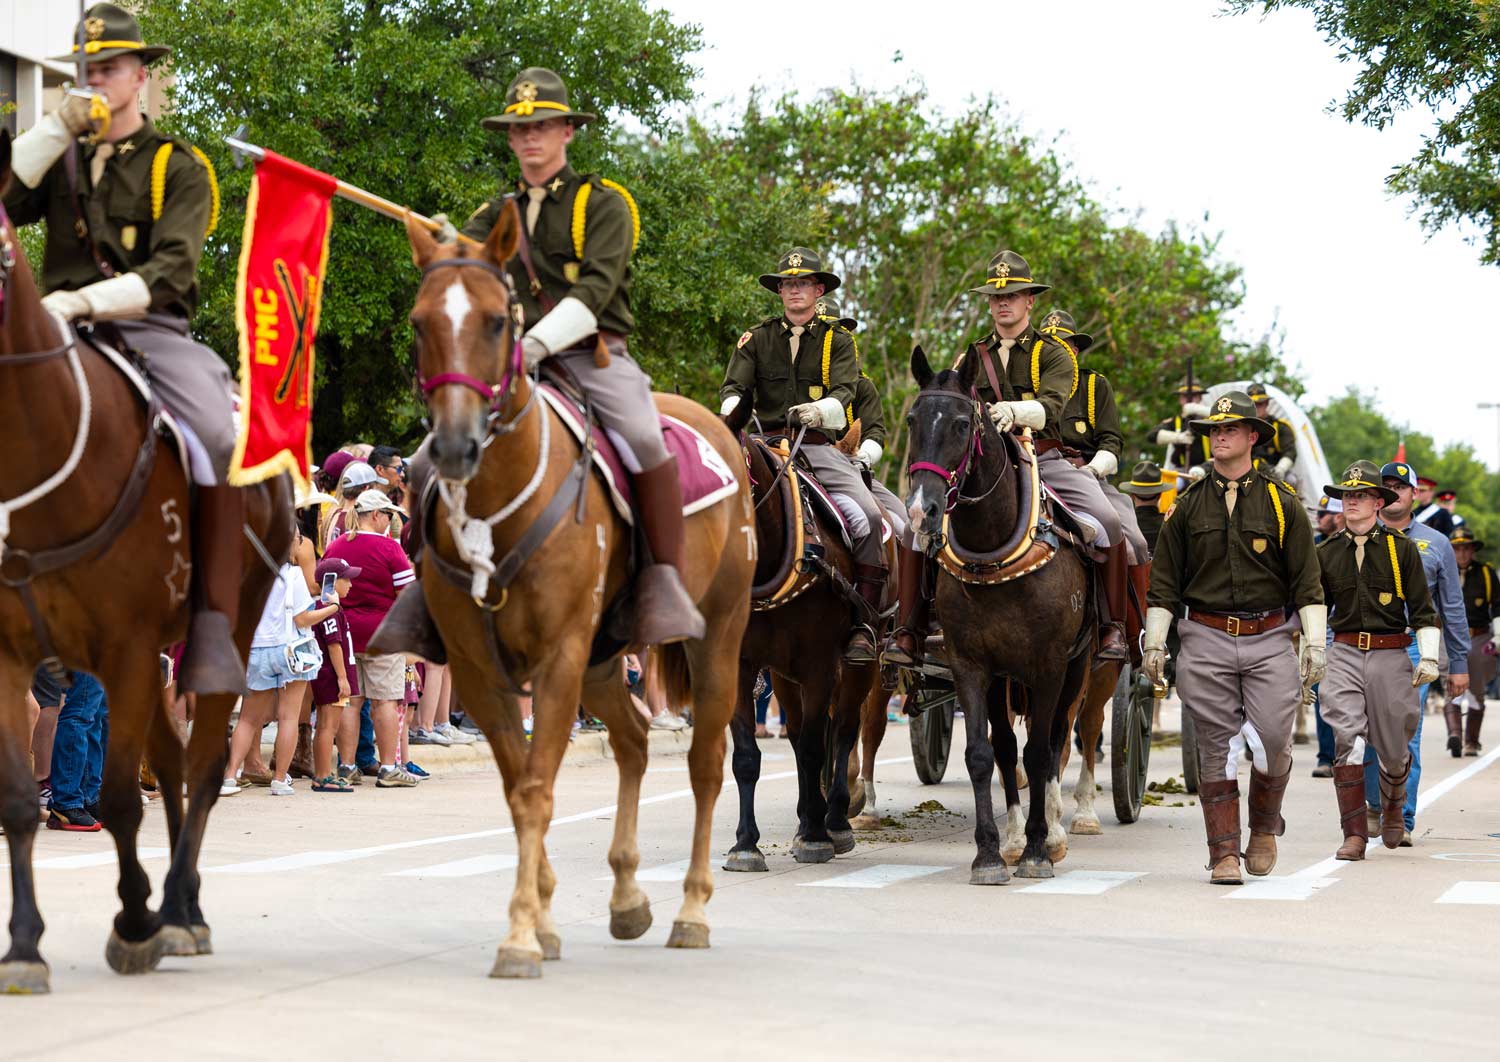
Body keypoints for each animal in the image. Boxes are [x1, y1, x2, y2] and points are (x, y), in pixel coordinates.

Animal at [0, 135, 294, 996]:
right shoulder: (13, 654)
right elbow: (20, 800)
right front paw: (23, 942)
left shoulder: (128, 650)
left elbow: (120, 797)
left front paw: (134, 921)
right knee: (172, 757)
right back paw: (177, 903)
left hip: (218, 637)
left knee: (200, 763)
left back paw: (181, 910)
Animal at [399, 205, 756, 978]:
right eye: (419, 321)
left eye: (497, 321)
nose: (452, 449)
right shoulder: (479, 668)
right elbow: (518, 788)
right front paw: (541, 918)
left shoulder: (558, 655)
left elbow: (537, 788)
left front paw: (521, 935)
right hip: (605, 659)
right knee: (633, 742)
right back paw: (627, 898)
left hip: (717, 639)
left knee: (706, 764)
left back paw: (690, 910)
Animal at [720, 399, 882, 870]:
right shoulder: (743, 666)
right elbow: (747, 755)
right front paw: (745, 844)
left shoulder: (819, 665)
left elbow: (816, 746)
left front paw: (816, 836)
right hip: (784, 674)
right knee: (798, 735)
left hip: (862, 664)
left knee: (844, 730)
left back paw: (836, 820)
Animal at [900, 346, 1092, 882]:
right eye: (912, 419)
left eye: (963, 423)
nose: (921, 510)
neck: (994, 553)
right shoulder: (972, 665)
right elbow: (984, 754)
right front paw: (991, 851)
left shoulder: (1049, 666)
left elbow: (1042, 751)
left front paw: (1038, 849)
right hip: (1007, 678)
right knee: (1009, 750)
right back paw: (1012, 836)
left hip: (1080, 666)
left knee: (1060, 739)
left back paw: (1055, 831)